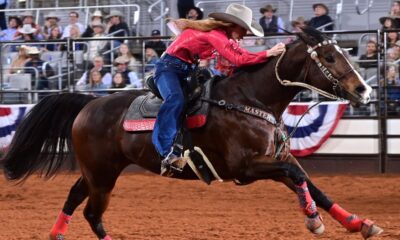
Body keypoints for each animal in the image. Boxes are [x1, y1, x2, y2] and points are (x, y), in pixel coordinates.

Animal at [2, 28, 382, 240]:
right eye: (329, 57)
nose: (363, 91)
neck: (250, 98)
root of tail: (89, 103)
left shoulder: (276, 159)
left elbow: (311, 185)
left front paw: (358, 223)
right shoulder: (245, 168)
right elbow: (298, 177)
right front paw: (314, 222)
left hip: (97, 172)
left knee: (74, 199)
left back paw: (56, 234)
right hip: (102, 176)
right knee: (92, 214)